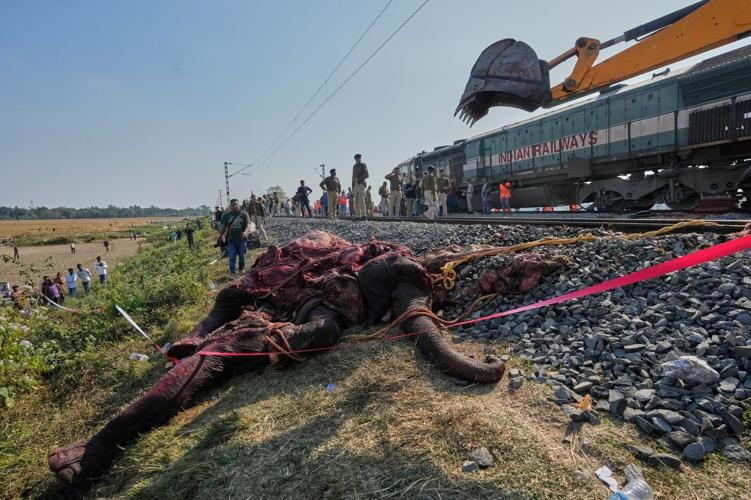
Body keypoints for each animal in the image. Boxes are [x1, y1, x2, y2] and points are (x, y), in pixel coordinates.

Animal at [48, 231, 506, 486]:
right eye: (393, 286)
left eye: (435, 298)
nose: (496, 362)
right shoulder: (323, 283)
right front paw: (264, 337)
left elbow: (319, 330)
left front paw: (271, 344)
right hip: (258, 272)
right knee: (226, 300)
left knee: (208, 360)